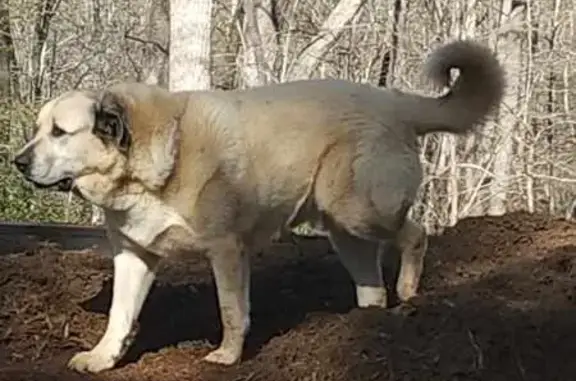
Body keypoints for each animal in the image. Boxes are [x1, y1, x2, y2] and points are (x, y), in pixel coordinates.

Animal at [13, 40, 504, 372]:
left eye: (59, 132)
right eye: (38, 129)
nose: (17, 162)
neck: (155, 157)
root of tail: (395, 100)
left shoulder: (226, 249)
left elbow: (232, 311)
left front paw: (228, 357)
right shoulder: (134, 255)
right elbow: (120, 315)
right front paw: (102, 358)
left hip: (357, 210)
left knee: (416, 235)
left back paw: (409, 292)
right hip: (345, 231)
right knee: (372, 289)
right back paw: (364, 325)